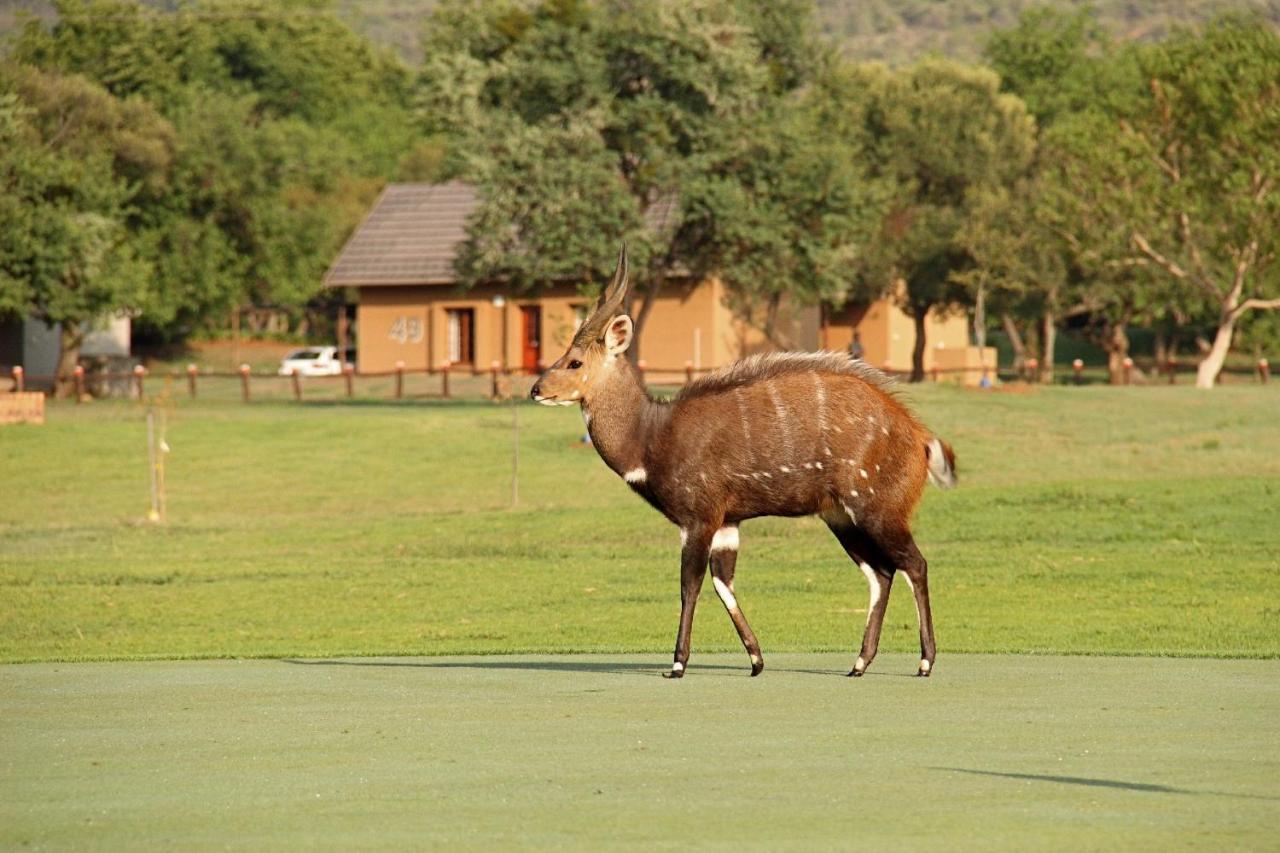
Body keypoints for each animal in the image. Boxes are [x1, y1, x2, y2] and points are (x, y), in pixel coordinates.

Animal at [524, 245, 957, 676]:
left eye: (575, 362)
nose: (535, 390)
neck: (651, 437)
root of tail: (921, 438)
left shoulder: (699, 517)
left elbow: (691, 584)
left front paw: (677, 664)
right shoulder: (728, 523)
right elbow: (724, 582)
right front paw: (756, 660)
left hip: (878, 509)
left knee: (914, 564)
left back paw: (924, 662)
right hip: (840, 516)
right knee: (881, 573)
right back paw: (859, 663)